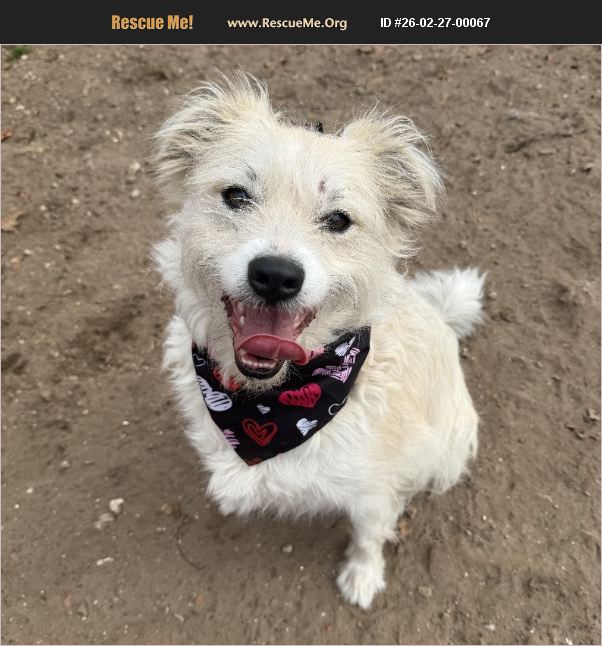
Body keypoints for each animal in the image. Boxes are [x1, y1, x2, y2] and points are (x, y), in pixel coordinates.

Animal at [152, 73, 484, 609]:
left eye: (338, 220)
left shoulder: (374, 489)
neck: (271, 401)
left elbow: (370, 535)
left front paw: (363, 576)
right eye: (236, 195)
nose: (275, 275)